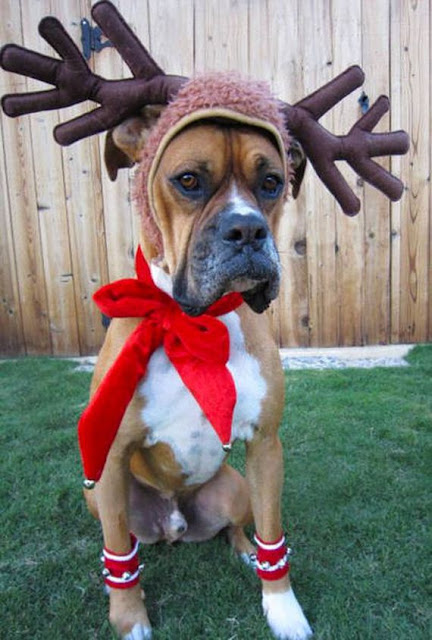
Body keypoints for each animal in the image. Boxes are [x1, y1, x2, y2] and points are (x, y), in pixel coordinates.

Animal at [82, 75, 310, 640]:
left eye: (272, 182)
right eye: (188, 180)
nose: (247, 229)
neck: (194, 323)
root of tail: (174, 524)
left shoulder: (266, 446)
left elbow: (274, 532)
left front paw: (283, 607)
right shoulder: (110, 457)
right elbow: (118, 555)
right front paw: (130, 619)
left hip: (237, 486)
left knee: (237, 528)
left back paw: (245, 553)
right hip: (98, 492)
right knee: (126, 540)